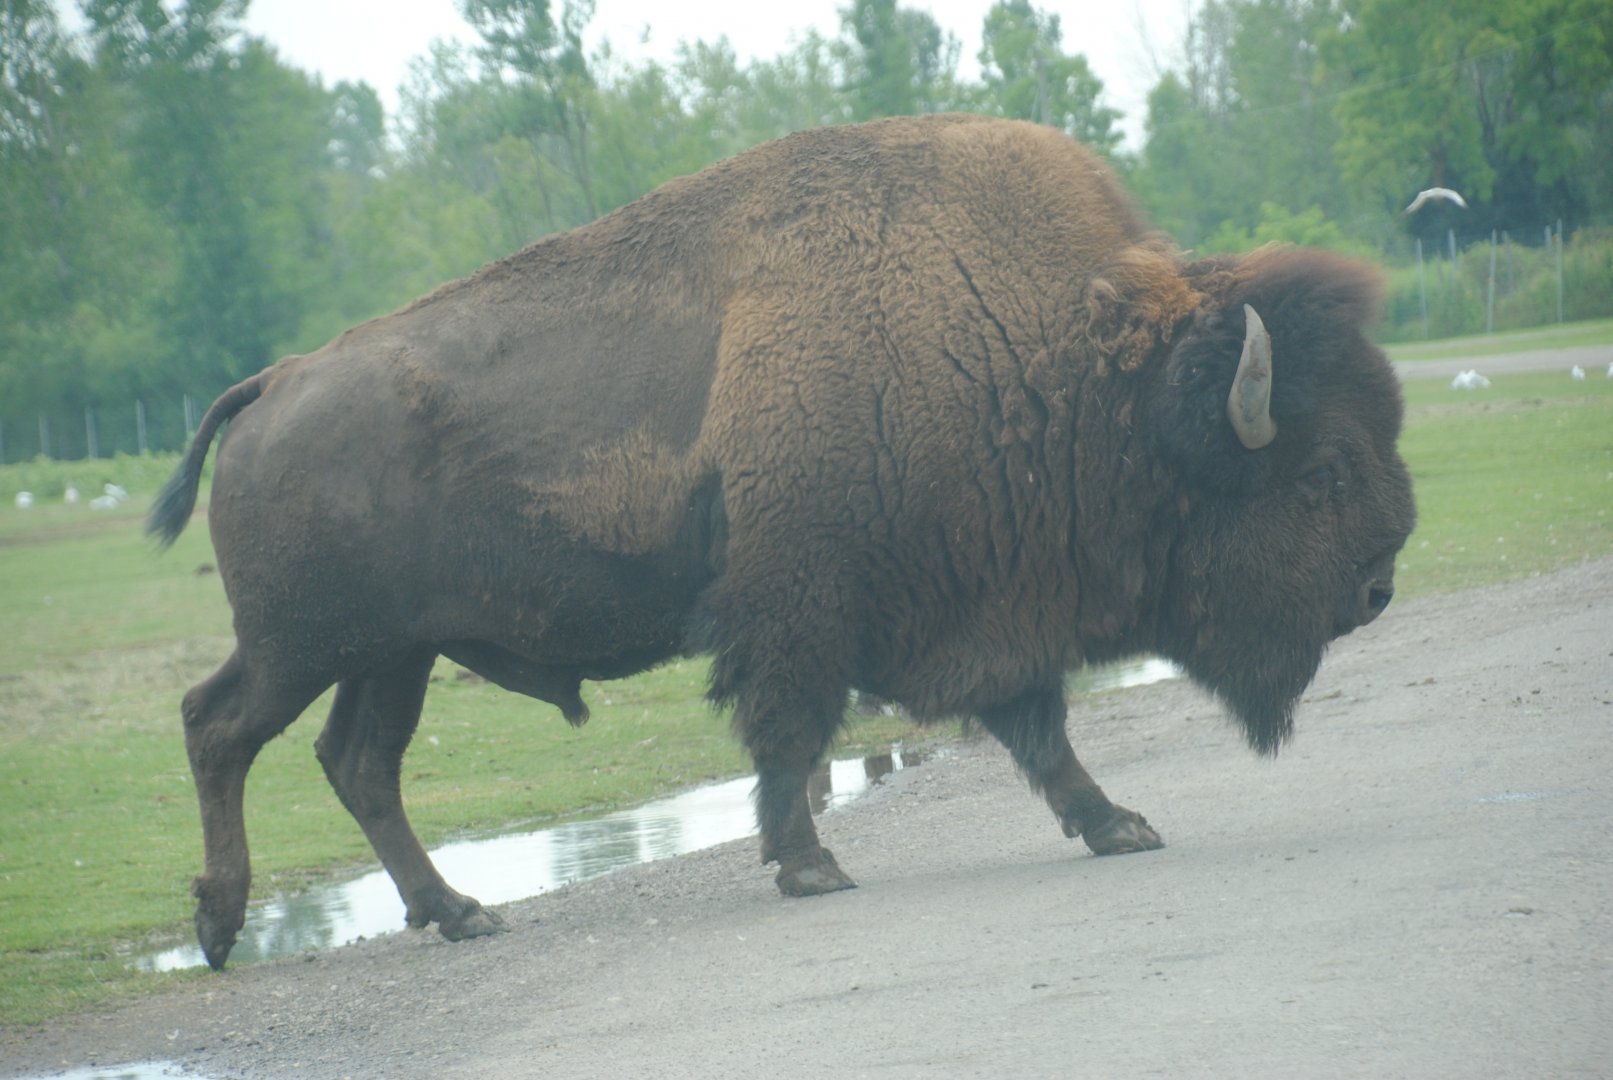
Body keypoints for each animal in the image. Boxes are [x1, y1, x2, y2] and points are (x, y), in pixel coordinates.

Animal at [150, 114, 1415, 970]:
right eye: (1318, 473)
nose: (1374, 586)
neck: (1070, 363)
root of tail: (272, 382)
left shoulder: (986, 606)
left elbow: (1034, 727)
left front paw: (1119, 826)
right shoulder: (802, 605)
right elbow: (792, 728)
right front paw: (810, 865)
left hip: (390, 654)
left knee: (356, 762)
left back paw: (458, 914)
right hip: (310, 646)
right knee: (220, 727)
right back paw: (221, 925)